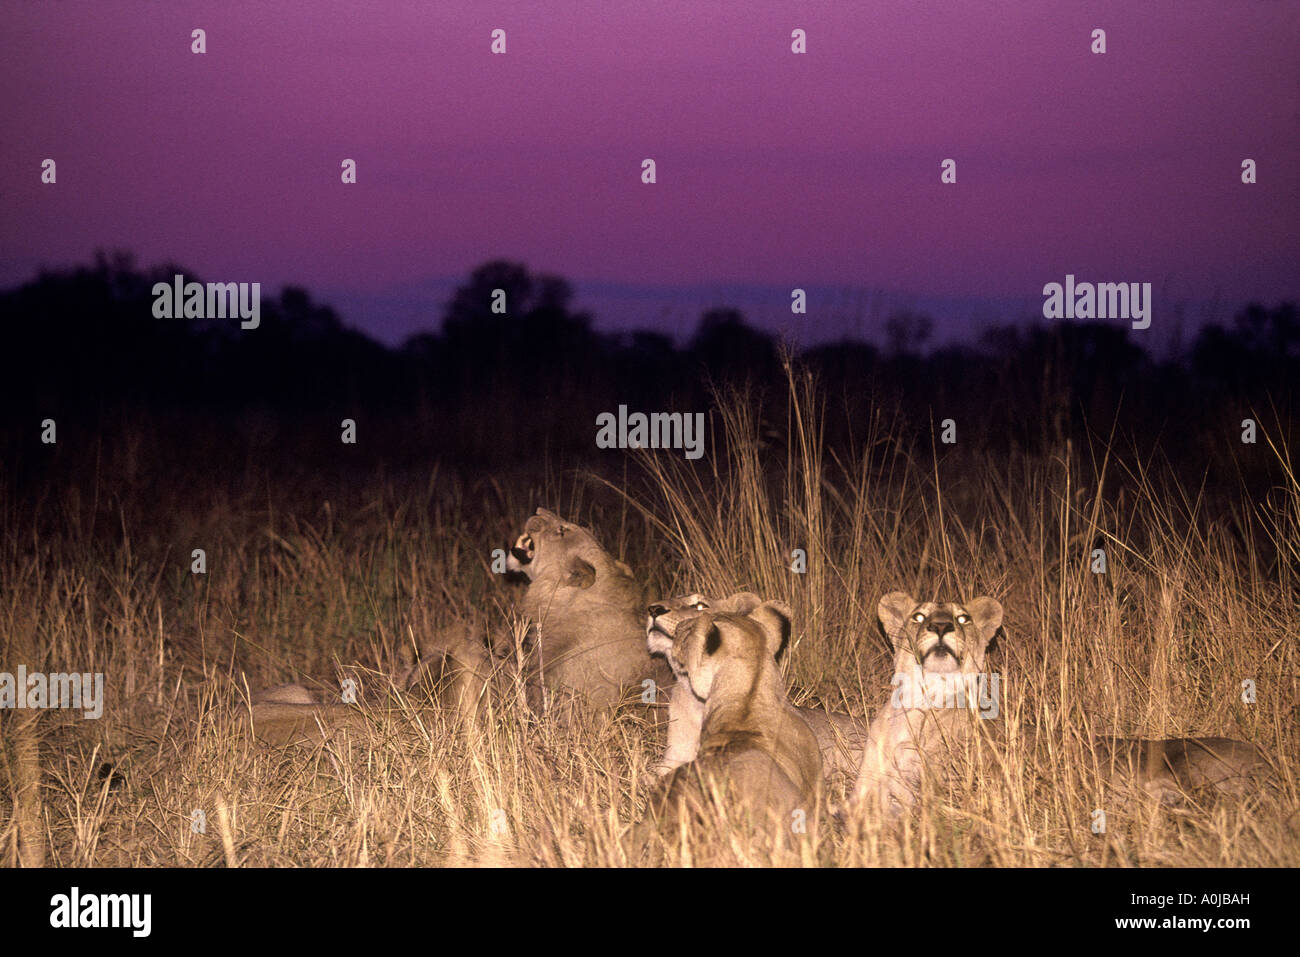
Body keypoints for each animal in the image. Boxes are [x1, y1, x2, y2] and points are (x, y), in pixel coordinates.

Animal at [850, 591, 1269, 818]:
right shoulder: (868, 784)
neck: (919, 704)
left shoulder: (951, 791)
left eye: (963, 618)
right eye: (918, 616)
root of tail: (1269, 761)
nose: (939, 627)